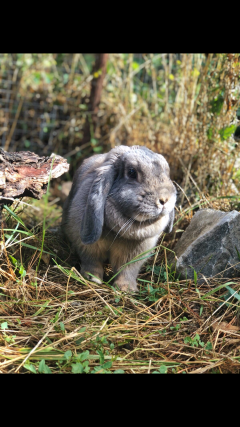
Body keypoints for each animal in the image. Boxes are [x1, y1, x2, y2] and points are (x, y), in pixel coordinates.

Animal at [61, 145, 176, 292]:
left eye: (167, 172)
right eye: (132, 172)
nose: (165, 199)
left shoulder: (134, 254)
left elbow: (127, 270)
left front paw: (125, 289)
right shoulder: (88, 246)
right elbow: (92, 261)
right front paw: (92, 278)